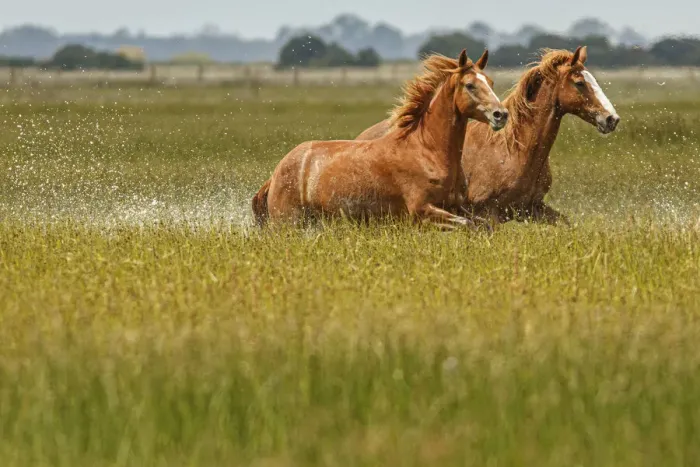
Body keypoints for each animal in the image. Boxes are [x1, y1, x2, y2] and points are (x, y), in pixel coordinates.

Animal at [251, 49, 509, 230]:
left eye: (491, 82)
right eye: (470, 85)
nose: (501, 114)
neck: (428, 150)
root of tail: (276, 173)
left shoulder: (458, 206)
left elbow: (482, 226)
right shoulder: (422, 211)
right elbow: (468, 226)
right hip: (288, 224)